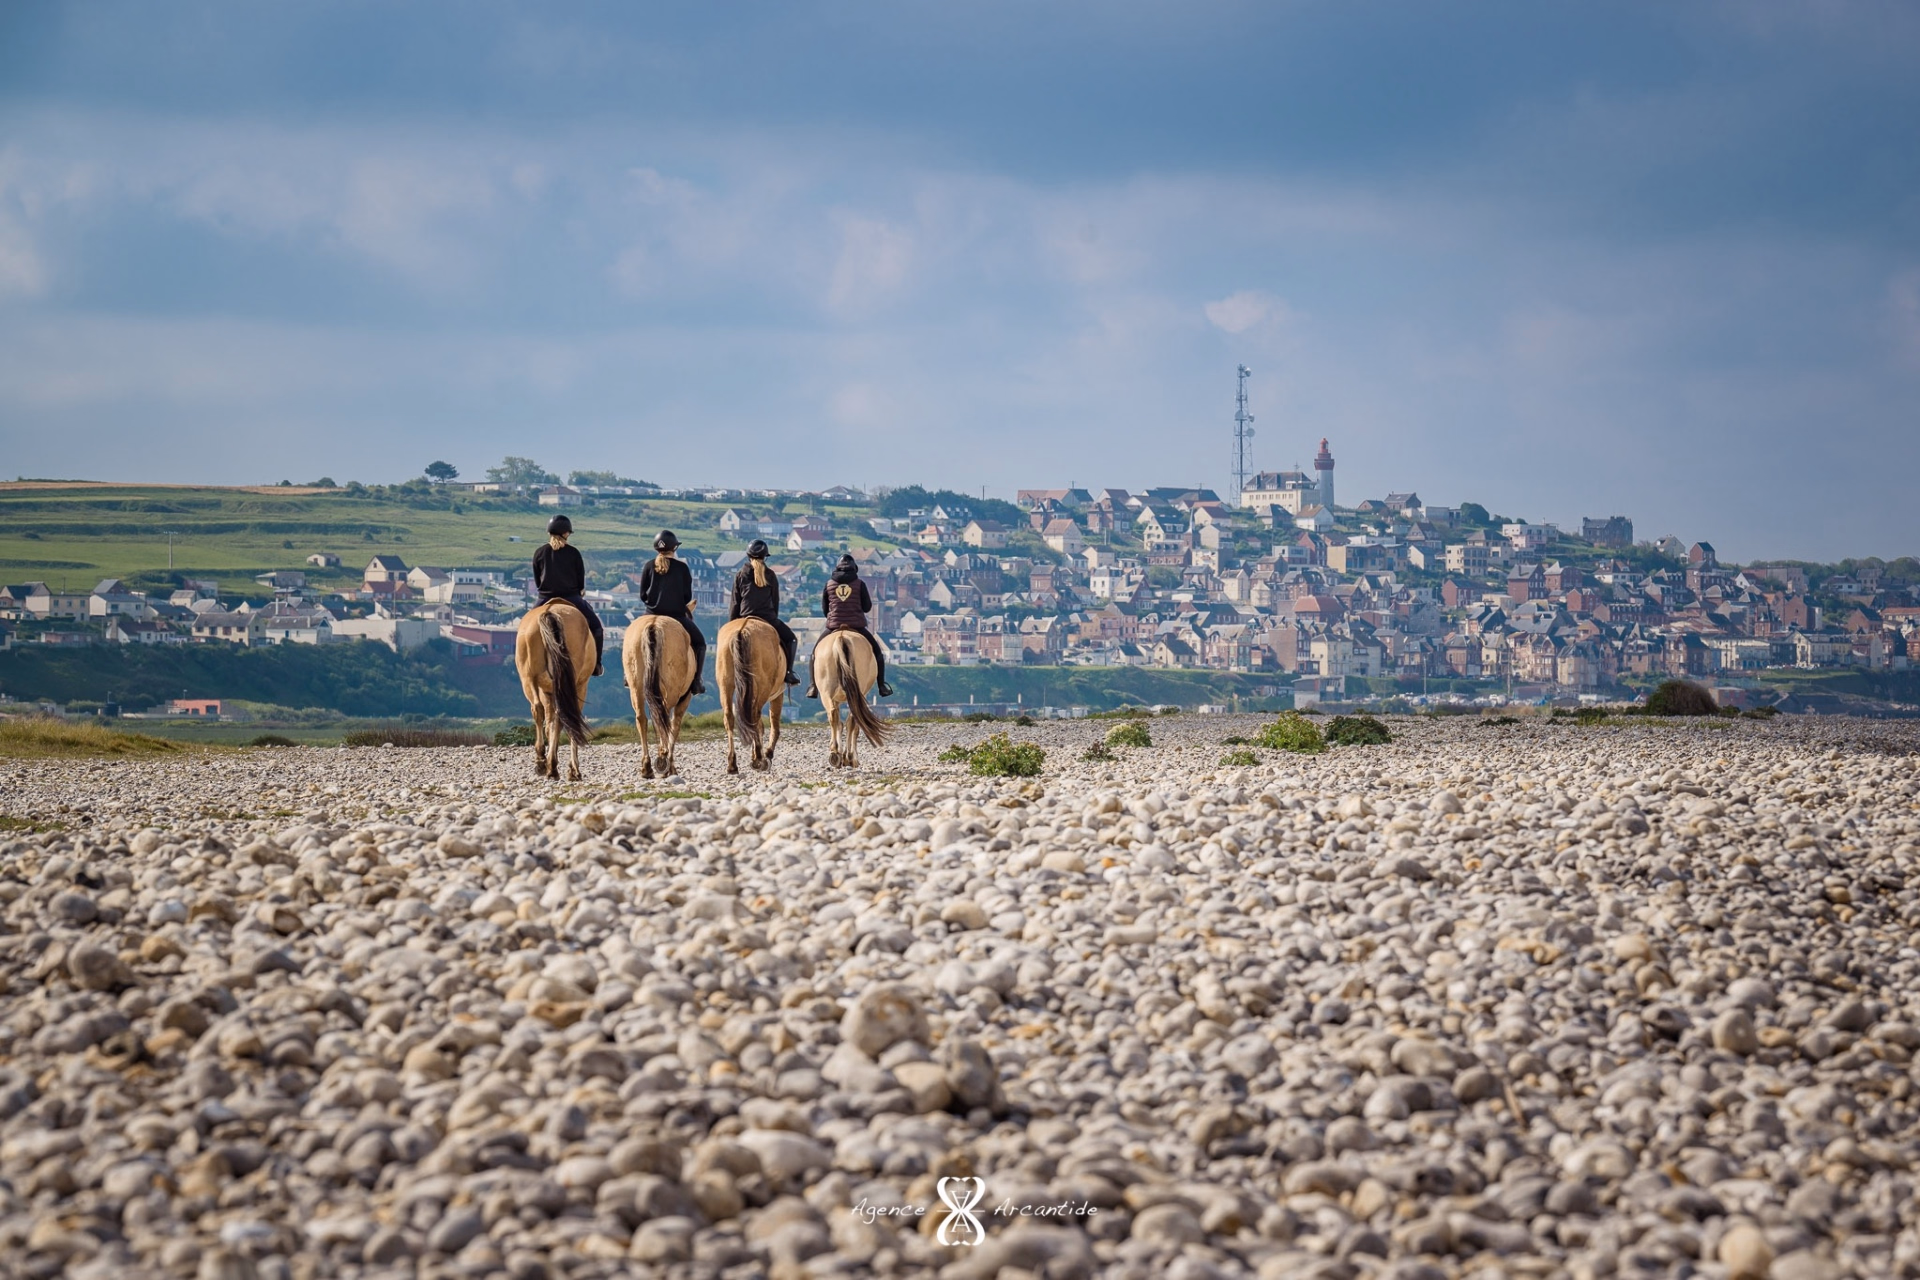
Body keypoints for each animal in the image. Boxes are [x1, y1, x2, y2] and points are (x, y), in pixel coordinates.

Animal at [515, 601, 594, 780]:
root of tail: (550, 611)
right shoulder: (580, 685)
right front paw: (572, 768)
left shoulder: (548, 690)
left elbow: (551, 724)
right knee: (562, 716)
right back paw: (552, 765)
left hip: (528, 678)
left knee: (538, 709)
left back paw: (543, 762)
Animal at [622, 615, 698, 779]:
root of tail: (654, 624)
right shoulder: (684, 699)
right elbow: (675, 725)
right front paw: (670, 765)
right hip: (670, 690)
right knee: (664, 720)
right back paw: (664, 761)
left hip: (636, 686)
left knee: (642, 719)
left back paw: (647, 767)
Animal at [715, 617, 786, 773]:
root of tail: (742, 629)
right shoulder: (778, 693)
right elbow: (773, 724)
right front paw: (767, 753)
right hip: (762, 688)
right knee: (754, 717)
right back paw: (759, 758)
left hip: (725, 684)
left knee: (730, 717)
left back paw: (732, 764)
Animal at [814, 630, 892, 769]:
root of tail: (842, 637)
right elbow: (854, 727)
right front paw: (851, 757)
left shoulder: (835, 698)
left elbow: (839, 723)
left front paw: (840, 752)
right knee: (852, 720)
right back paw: (849, 757)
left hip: (826, 693)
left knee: (833, 715)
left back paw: (835, 753)